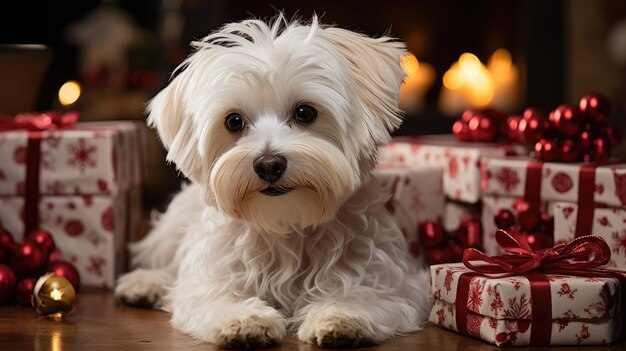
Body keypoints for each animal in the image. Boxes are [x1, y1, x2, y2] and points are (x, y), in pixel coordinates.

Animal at [114, 15, 428, 350]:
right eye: (234, 121)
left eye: (305, 112)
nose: (268, 164)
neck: (285, 223)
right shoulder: (210, 278)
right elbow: (210, 296)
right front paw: (244, 320)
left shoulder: (390, 281)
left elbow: (366, 295)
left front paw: (341, 315)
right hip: (174, 223)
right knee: (167, 262)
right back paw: (144, 283)